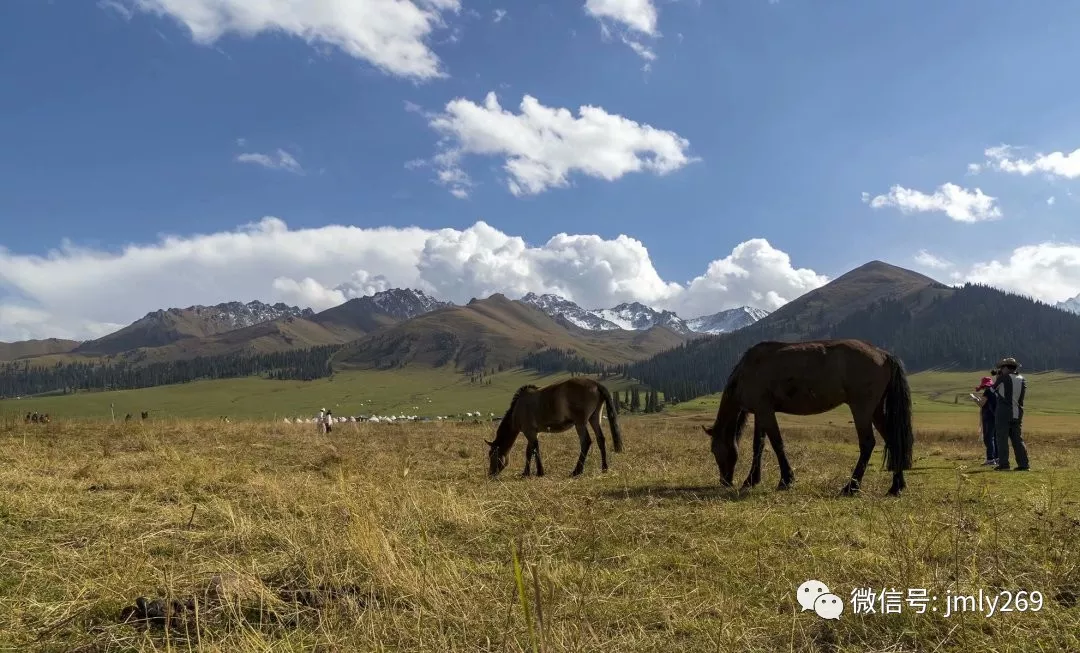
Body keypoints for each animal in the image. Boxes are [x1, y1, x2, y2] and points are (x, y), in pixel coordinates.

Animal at [490, 373, 626, 477]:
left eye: (492, 455)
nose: (491, 474)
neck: (517, 409)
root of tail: (595, 384)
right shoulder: (534, 433)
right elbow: (530, 451)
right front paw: (527, 472)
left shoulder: (530, 432)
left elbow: (534, 450)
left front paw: (538, 472)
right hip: (594, 418)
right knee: (600, 439)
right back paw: (604, 468)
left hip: (580, 423)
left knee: (586, 442)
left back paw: (577, 471)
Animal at [699, 338, 911, 496]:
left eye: (714, 450)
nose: (724, 481)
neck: (747, 371)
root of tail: (883, 354)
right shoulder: (760, 412)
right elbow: (758, 445)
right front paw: (751, 479)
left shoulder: (766, 411)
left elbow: (777, 444)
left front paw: (786, 480)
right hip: (875, 411)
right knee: (893, 440)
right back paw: (896, 487)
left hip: (862, 409)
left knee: (867, 443)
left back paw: (851, 487)